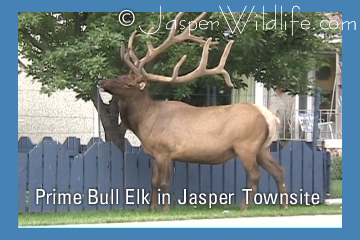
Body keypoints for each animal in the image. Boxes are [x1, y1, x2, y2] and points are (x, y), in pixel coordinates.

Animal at [99, 11, 290, 212]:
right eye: (120, 76)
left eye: (128, 83)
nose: (102, 81)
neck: (145, 121)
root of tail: (270, 117)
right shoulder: (155, 153)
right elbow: (154, 182)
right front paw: (151, 209)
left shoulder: (165, 151)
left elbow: (164, 183)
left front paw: (165, 210)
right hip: (263, 148)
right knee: (279, 170)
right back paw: (284, 205)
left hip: (247, 145)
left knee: (255, 175)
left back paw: (244, 206)